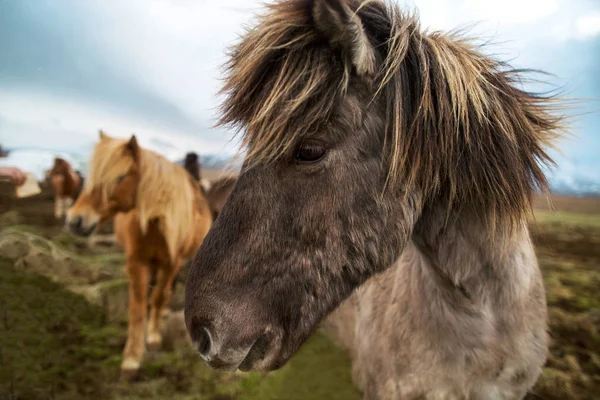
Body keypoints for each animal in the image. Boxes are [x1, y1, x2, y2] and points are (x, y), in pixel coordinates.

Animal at [67, 131, 213, 382]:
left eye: (120, 177)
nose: (75, 220)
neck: (155, 225)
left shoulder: (170, 263)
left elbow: (159, 297)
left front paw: (153, 337)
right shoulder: (137, 262)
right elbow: (137, 309)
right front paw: (132, 359)